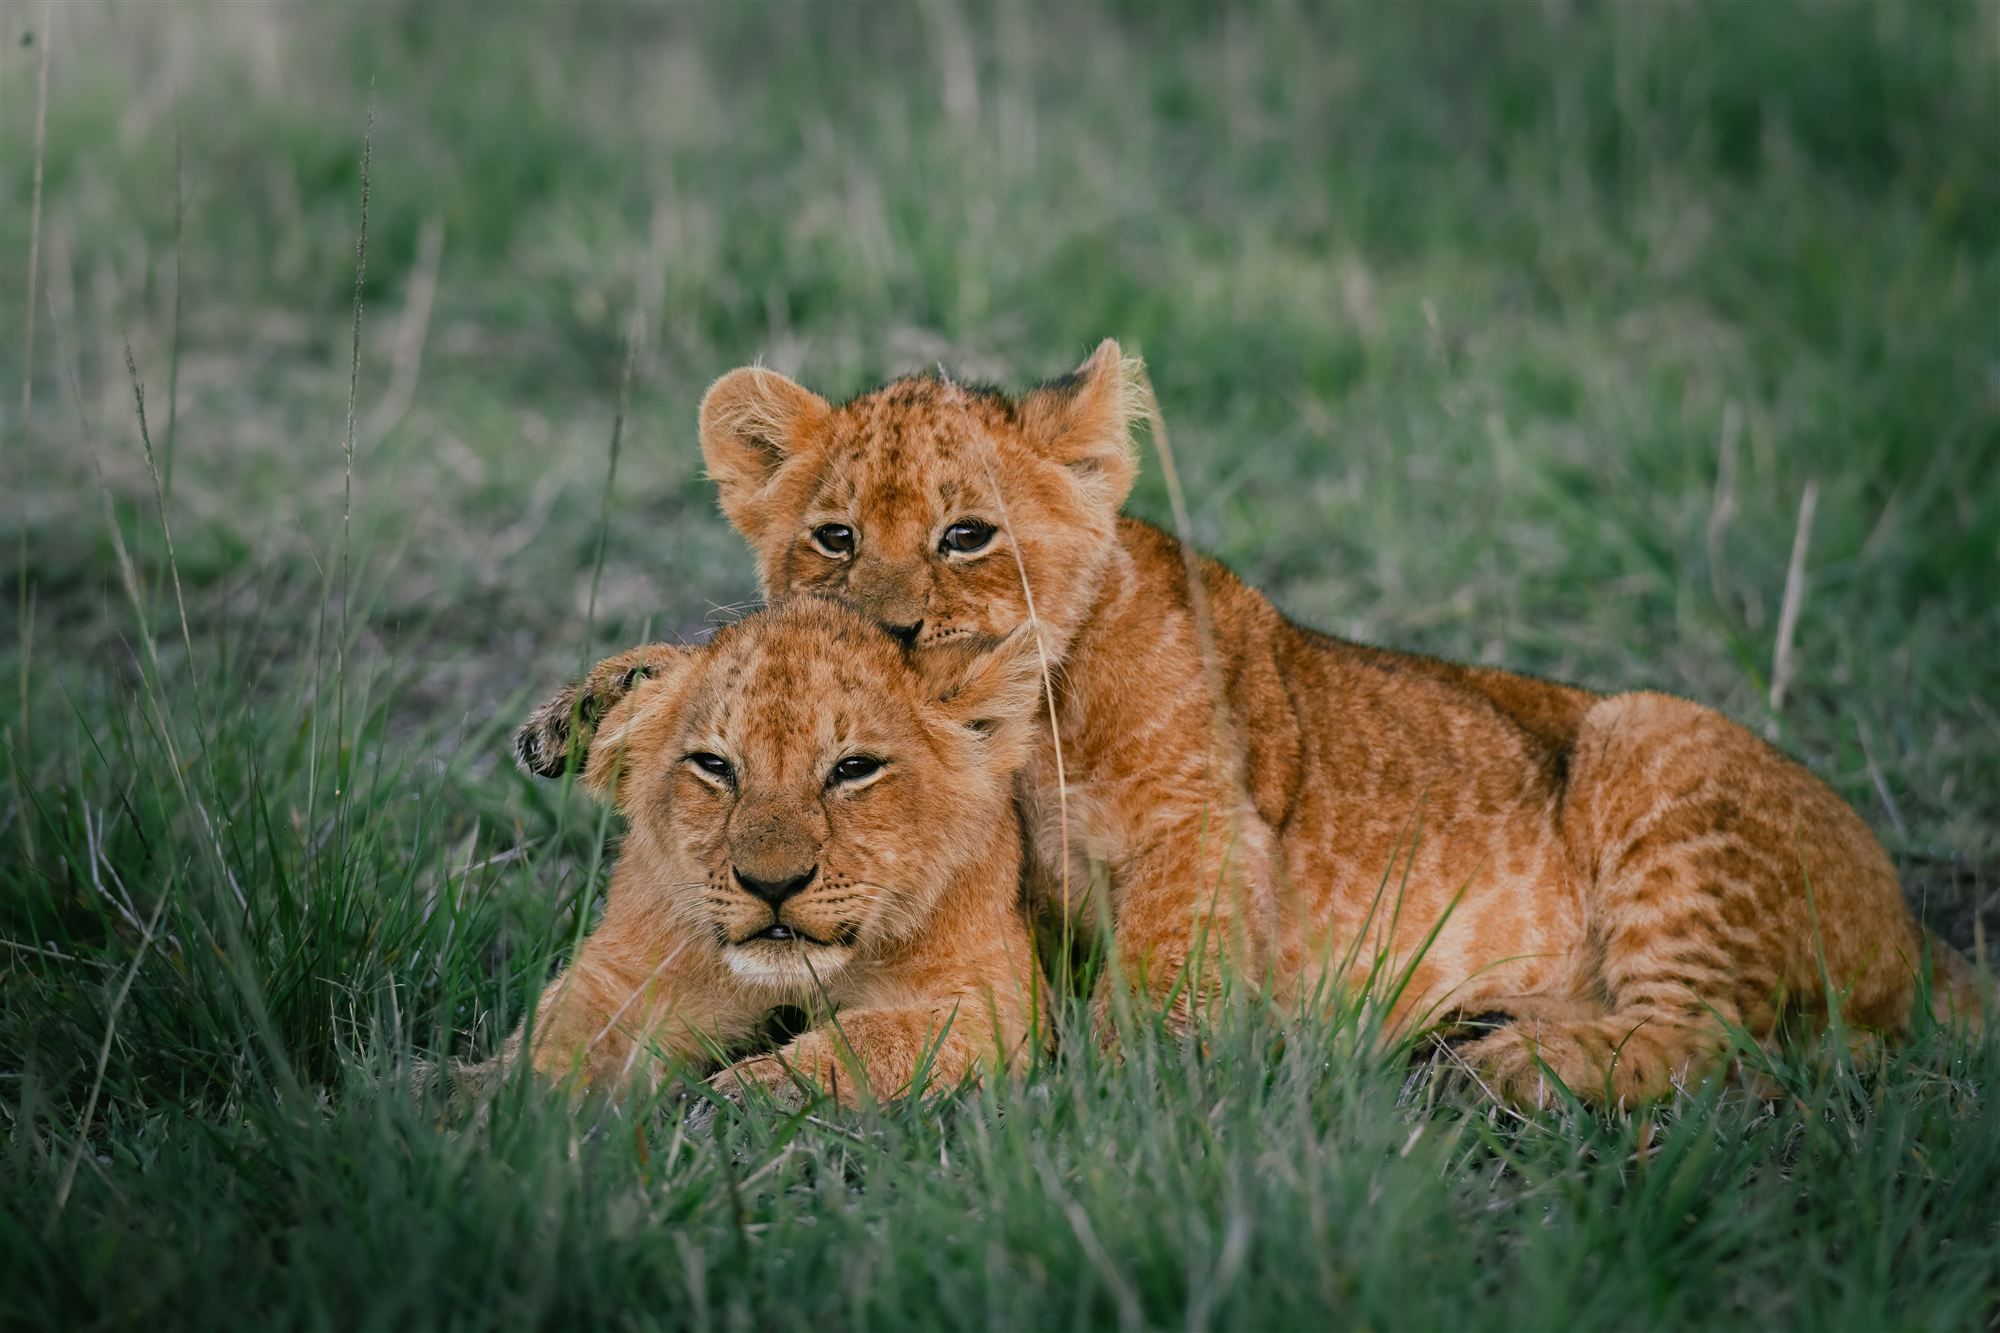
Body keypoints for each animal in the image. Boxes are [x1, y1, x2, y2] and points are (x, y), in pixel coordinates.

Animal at [475, 594, 1047, 1109]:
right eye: (714, 765)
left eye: (855, 768)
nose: (773, 885)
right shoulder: (628, 968)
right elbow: (562, 1033)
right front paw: (490, 1098)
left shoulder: (998, 1002)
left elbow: (878, 1039)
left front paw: (747, 1092)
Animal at [651, 339, 1984, 1109]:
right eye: (832, 538)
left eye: (967, 535)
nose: (887, 633)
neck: (1021, 728)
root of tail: (1922, 931)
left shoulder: (1203, 831)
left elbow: (1153, 994)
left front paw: (1122, 1093)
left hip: (1644, 736)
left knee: (1722, 1039)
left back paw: (1510, 1064)